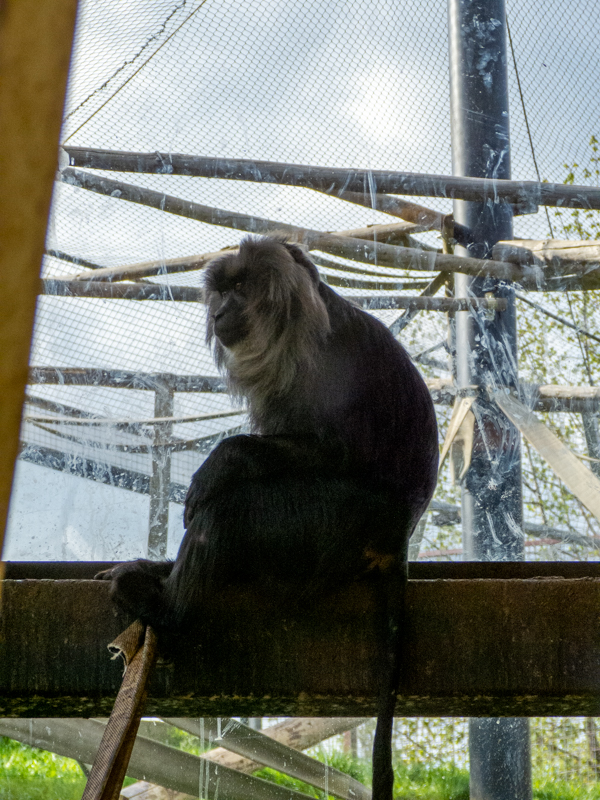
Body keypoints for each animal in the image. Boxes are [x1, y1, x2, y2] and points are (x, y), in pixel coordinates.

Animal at [96, 236, 438, 800]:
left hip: (336, 520)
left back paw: (164, 607)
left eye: (241, 287)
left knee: (234, 509)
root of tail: (397, 537)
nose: (219, 310)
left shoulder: (329, 361)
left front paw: (221, 463)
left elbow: (335, 451)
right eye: (221, 291)